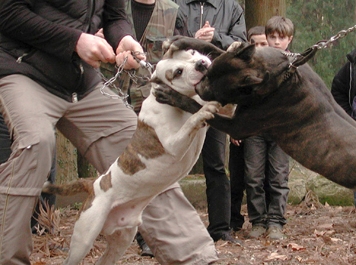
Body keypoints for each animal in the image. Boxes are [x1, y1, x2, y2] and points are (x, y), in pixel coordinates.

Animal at [41, 48, 220, 262]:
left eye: (192, 52)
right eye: (178, 72)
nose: (201, 63)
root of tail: (93, 183)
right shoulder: (173, 144)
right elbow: (190, 122)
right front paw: (202, 112)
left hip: (122, 239)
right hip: (84, 238)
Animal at [156, 36, 356, 189]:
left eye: (219, 93)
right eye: (208, 73)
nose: (199, 87)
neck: (280, 75)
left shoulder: (236, 126)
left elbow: (196, 106)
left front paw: (171, 96)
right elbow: (213, 48)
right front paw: (181, 41)